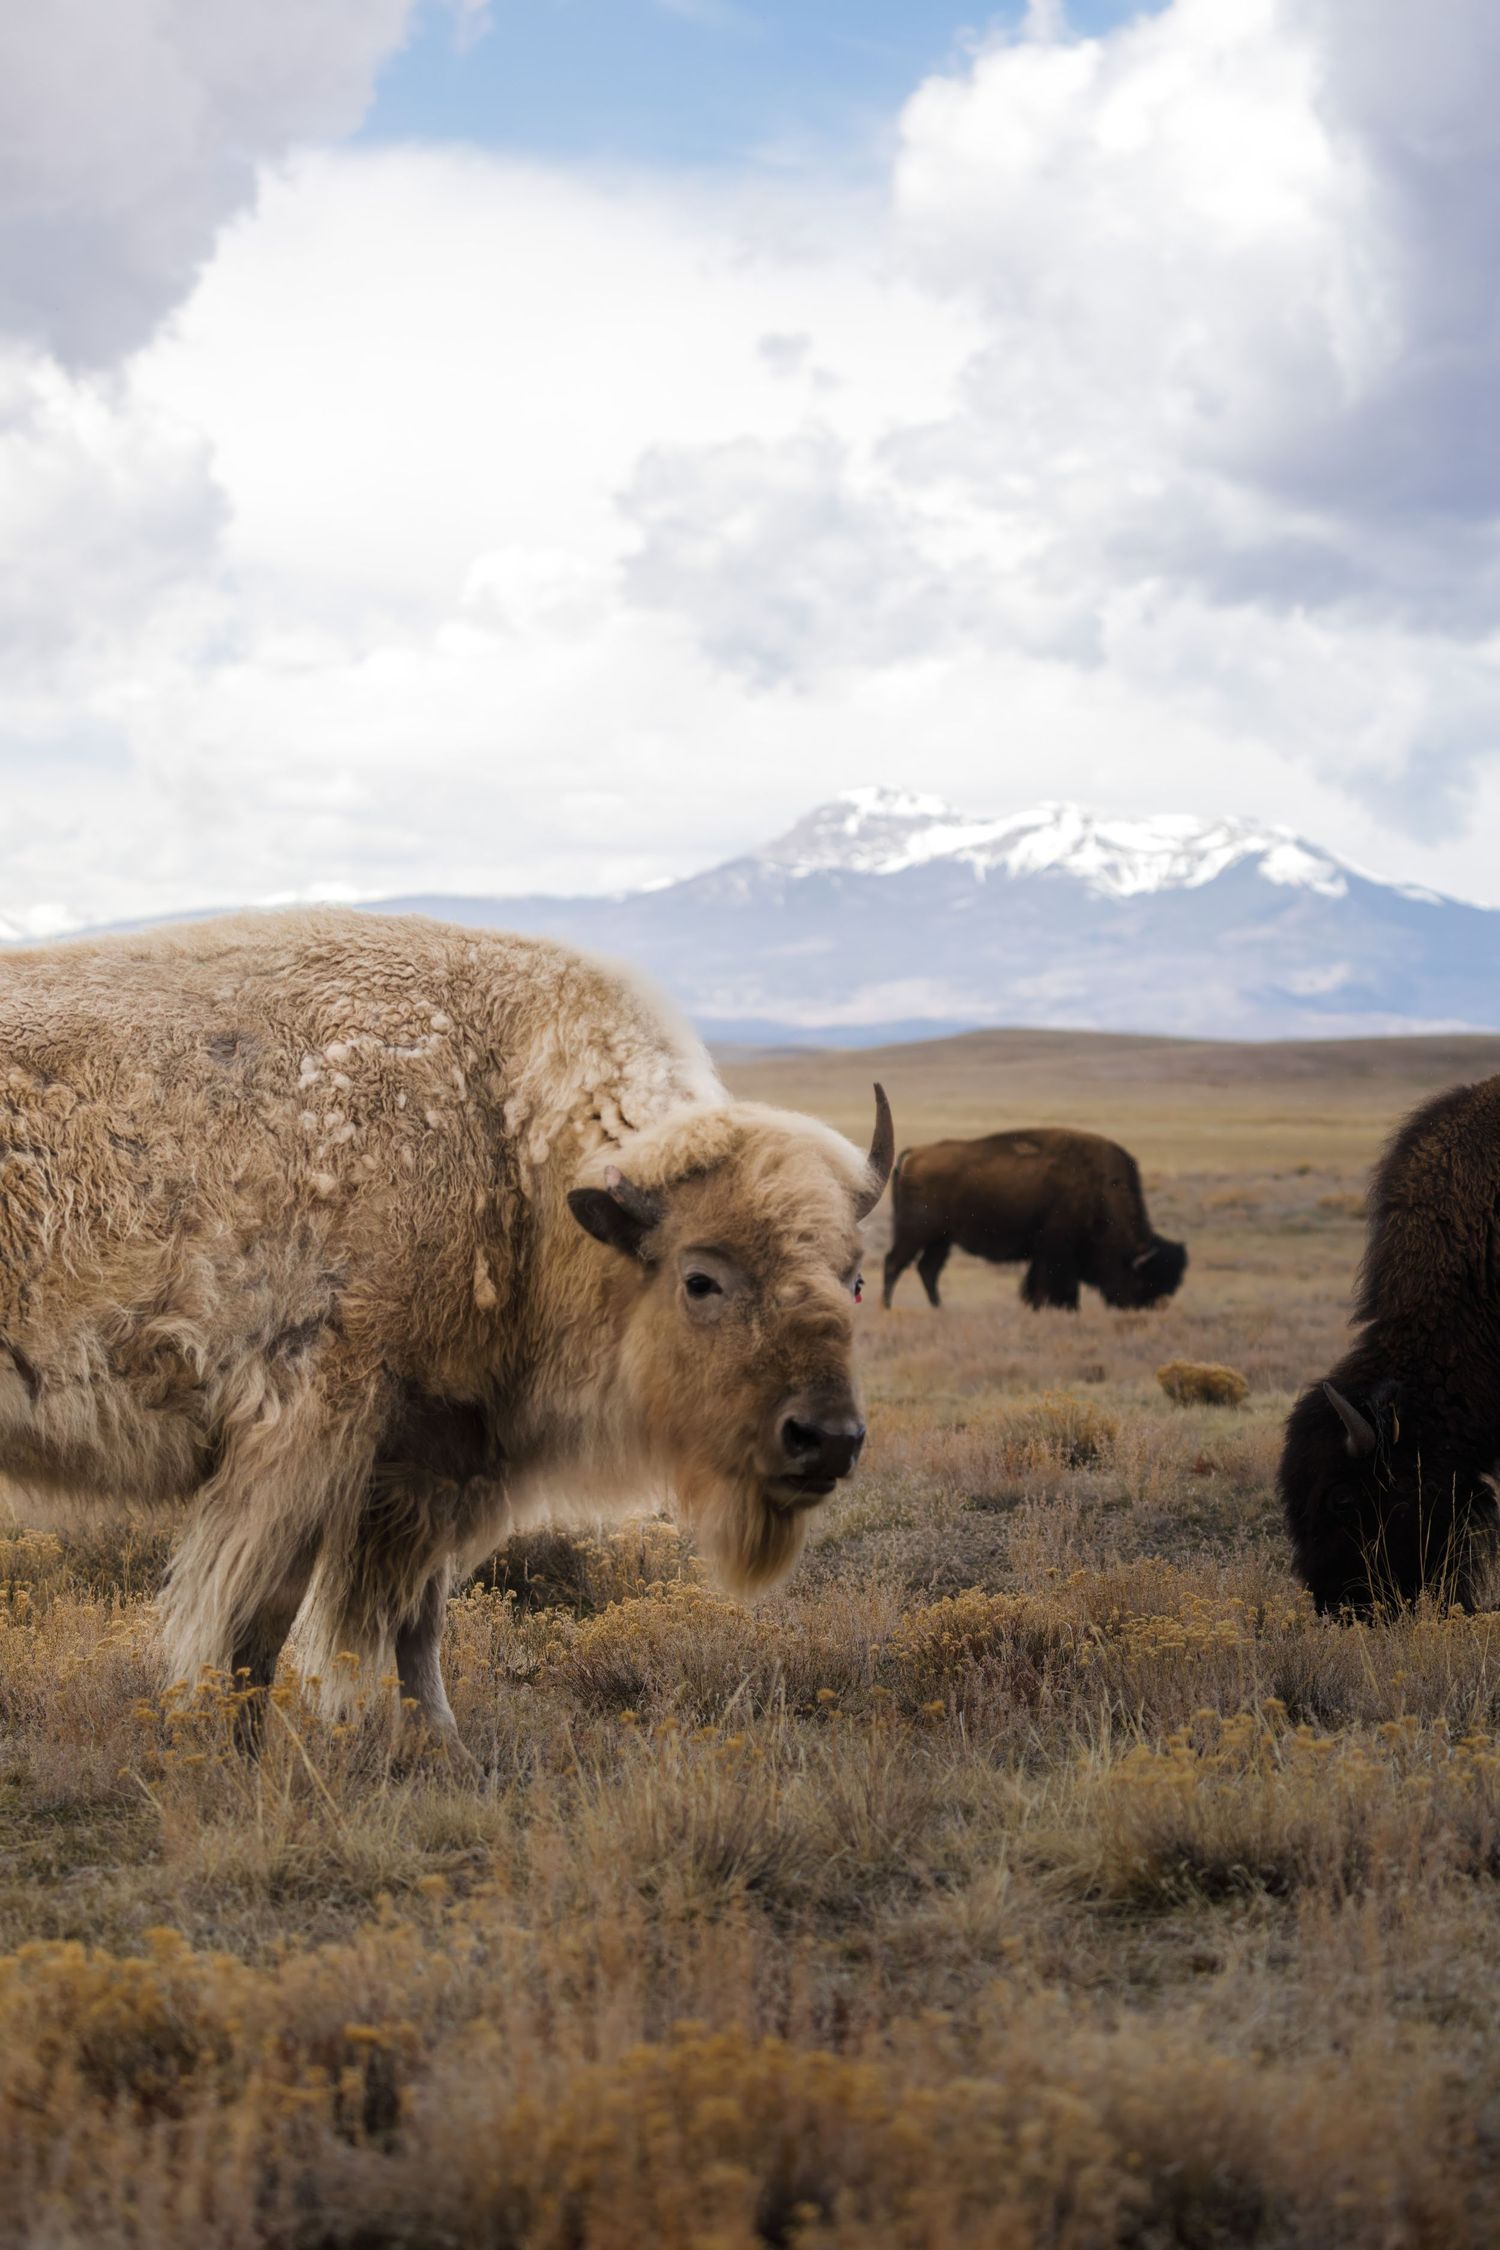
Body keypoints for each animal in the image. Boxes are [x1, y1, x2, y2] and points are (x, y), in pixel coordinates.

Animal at [0, 911, 892, 1751]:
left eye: (854, 1278)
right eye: (700, 1279)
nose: (827, 1439)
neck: (508, 1142)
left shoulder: (435, 1460)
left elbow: (415, 1623)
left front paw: (440, 1743)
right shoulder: (311, 1443)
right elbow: (256, 1625)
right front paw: (243, 1755)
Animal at [881, 1127, 1186, 1312]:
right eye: (1144, 1281)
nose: (1145, 1310)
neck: (1100, 1189)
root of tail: (915, 1153)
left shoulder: (1047, 1255)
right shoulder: (1056, 1252)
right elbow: (1051, 1285)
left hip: (941, 1238)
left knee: (928, 1269)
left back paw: (939, 1308)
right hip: (915, 1232)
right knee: (895, 1263)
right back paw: (887, 1307)